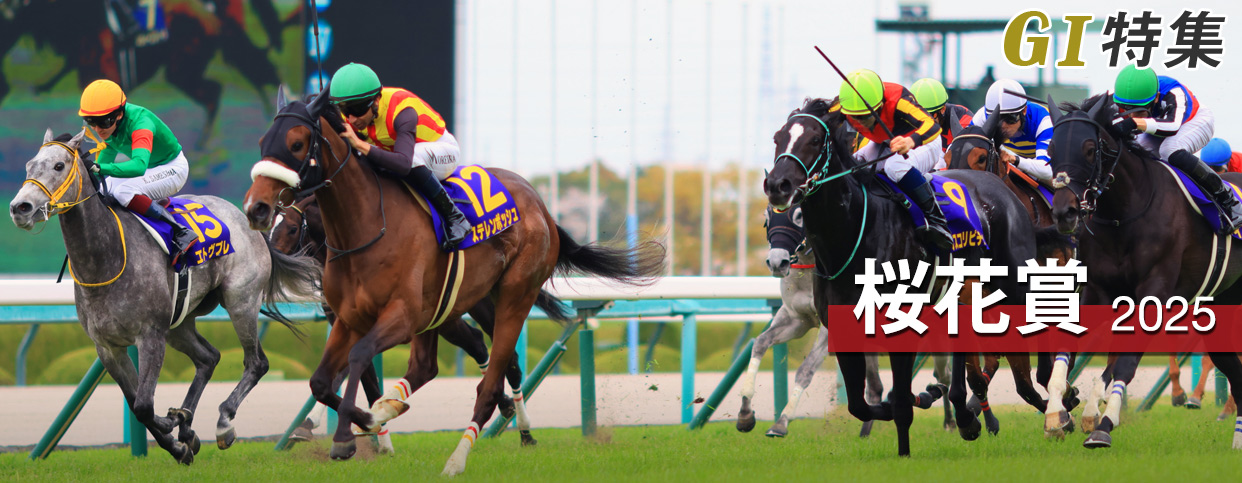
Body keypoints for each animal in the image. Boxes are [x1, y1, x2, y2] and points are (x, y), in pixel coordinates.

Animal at [8, 129, 321, 464]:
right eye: (29, 165)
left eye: (59, 166)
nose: (20, 207)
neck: (106, 260)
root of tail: (245, 218)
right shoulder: (108, 348)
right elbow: (136, 404)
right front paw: (180, 441)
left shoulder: (150, 336)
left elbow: (144, 405)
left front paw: (174, 426)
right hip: (179, 323)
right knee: (209, 358)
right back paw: (187, 424)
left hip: (241, 301)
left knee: (256, 363)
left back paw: (223, 423)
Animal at [270, 194, 540, 448]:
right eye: (271, 227)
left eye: (292, 228)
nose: (271, 261)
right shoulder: (347, 323)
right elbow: (361, 374)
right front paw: (372, 428)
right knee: (476, 343)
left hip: (478, 305)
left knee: (506, 356)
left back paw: (524, 430)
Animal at [734, 204, 955, 438]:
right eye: (766, 218)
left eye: (799, 216)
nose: (777, 263)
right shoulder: (796, 319)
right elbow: (760, 343)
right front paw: (745, 414)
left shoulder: (829, 328)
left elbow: (805, 369)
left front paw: (781, 422)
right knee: (877, 386)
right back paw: (867, 431)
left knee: (944, 375)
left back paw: (950, 421)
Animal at [763, 97, 1039, 456]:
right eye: (778, 138)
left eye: (813, 139)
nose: (777, 186)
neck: (855, 231)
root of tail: (998, 184)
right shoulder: (844, 326)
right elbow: (861, 404)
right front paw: (916, 402)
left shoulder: (902, 322)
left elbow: (900, 404)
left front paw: (905, 449)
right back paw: (967, 416)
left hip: (1014, 283)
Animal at [1046, 93, 1242, 449]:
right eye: (1051, 149)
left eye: (1090, 149)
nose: (1064, 213)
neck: (1124, 212)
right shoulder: (1098, 291)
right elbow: (1071, 349)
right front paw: (1058, 412)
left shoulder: (1154, 290)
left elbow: (1123, 362)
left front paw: (1104, 424)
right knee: (1234, 371)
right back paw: (1237, 439)